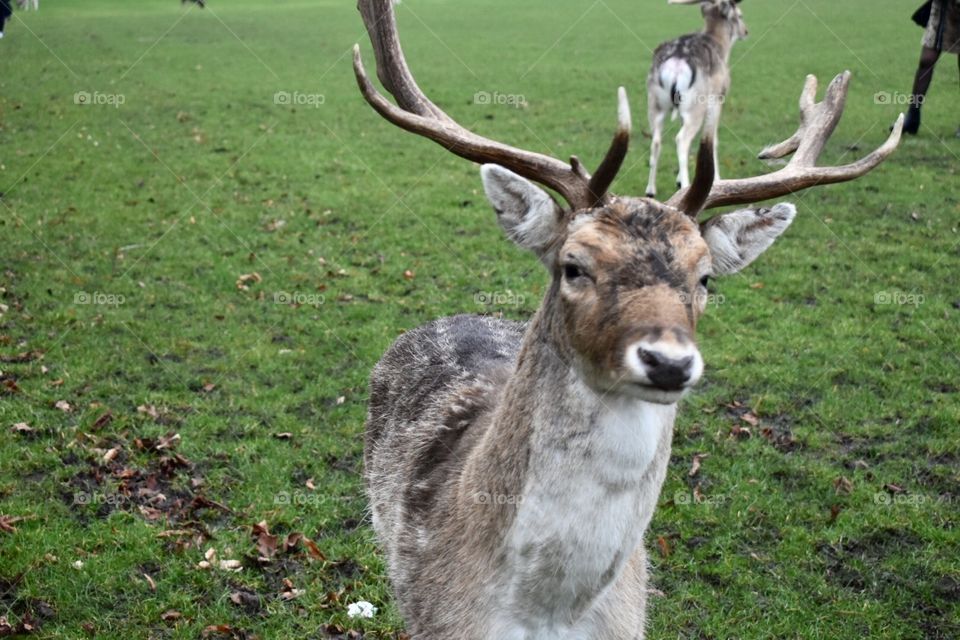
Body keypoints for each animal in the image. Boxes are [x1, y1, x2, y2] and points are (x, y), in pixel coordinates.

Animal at [646, 0, 748, 199]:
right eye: (739, 15)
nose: (746, 31)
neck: (722, 47)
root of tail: (676, 62)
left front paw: (677, 179)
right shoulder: (718, 99)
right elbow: (712, 139)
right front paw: (717, 180)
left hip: (655, 104)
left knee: (656, 141)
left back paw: (651, 190)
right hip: (695, 106)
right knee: (681, 139)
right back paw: (685, 187)